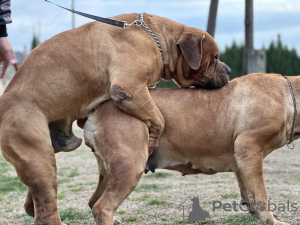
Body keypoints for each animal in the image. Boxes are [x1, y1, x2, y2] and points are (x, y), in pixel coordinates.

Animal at [0, 13, 229, 224]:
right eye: (215, 57)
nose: (228, 69)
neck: (153, 35)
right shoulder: (130, 88)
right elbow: (159, 119)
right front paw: (152, 140)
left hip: (50, 150)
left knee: (34, 201)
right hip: (39, 159)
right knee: (48, 210)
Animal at [84, 73, 296, 224]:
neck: (289, 97)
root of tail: (96, 111)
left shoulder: (242, 159)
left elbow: (247, 188)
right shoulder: (250, 149)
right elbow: (261, 193)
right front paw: (270, 220)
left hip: (109, 171)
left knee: (93, 202)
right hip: (130, 166)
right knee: (102, 207)